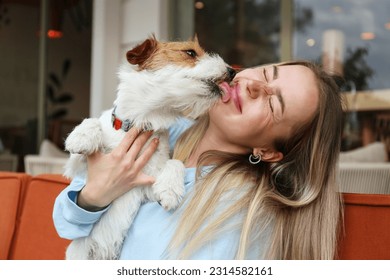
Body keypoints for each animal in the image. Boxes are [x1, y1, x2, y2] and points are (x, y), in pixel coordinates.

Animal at [62, 35, 236, 260]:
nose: (232, 71)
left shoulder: (146, 186)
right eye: (190, 52)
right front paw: (81, 137)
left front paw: (170, 189)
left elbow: (175, 162)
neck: (141, 122)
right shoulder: (79, 169)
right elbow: (92, 123)